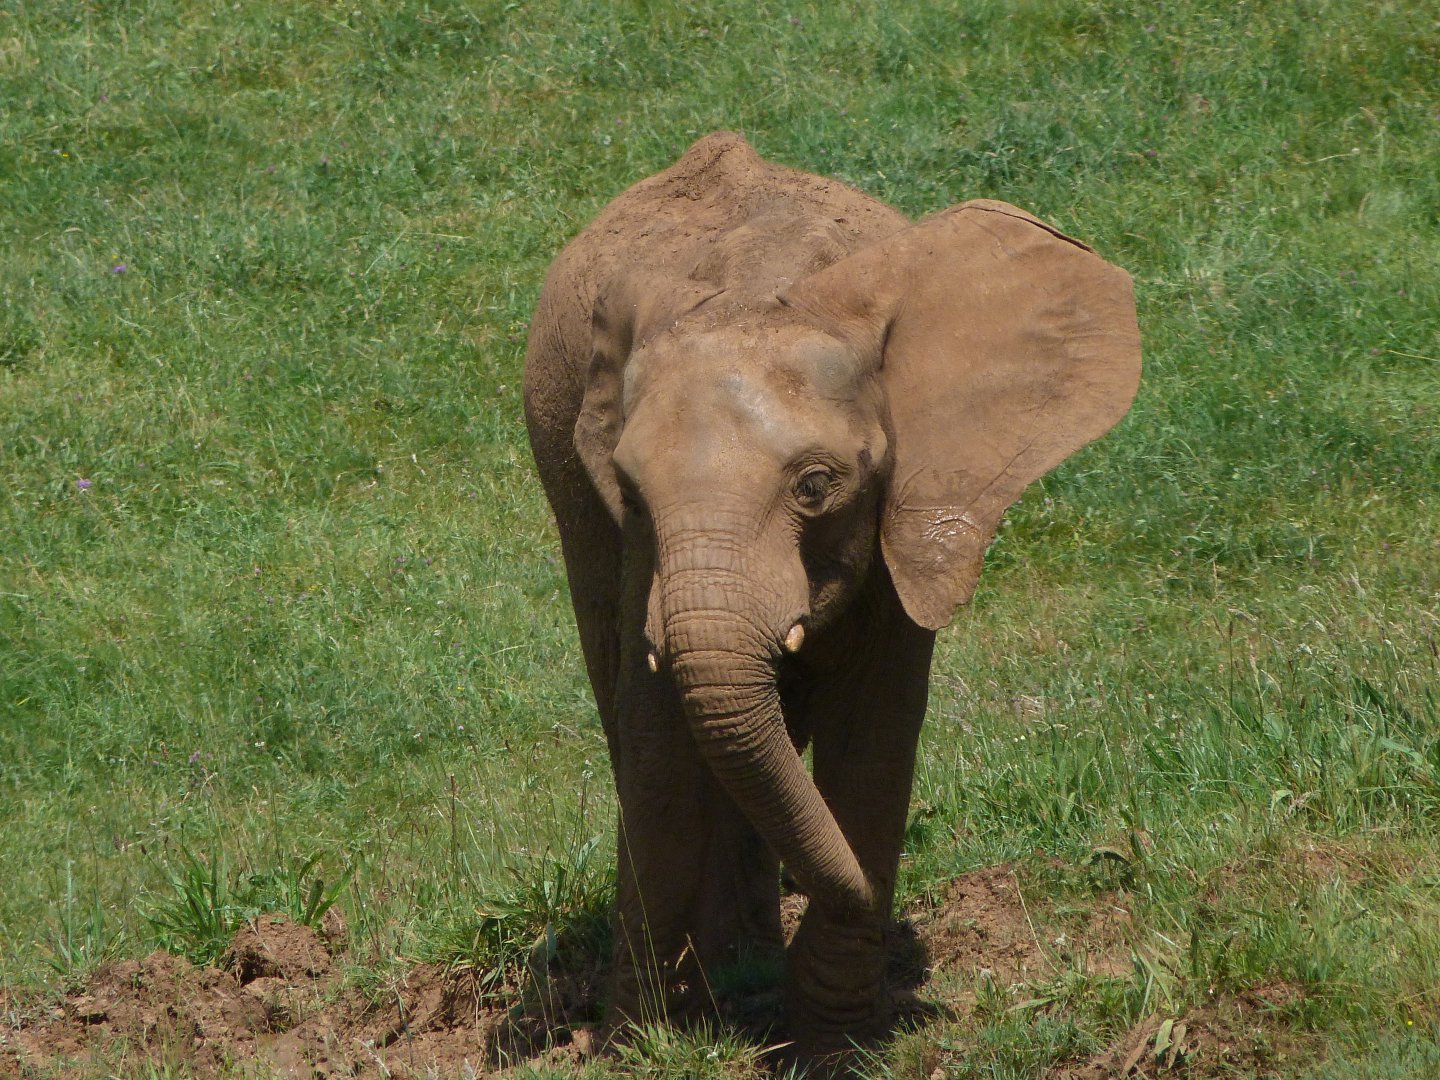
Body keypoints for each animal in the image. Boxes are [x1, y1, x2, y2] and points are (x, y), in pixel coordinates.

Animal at [522, 132, 1141, 1061]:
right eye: (630, 488)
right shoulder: (635, 543)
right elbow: (657, 734)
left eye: (816, 486)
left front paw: (837, 1047)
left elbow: (876, 732)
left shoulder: (898, 508)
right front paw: (640, 1046)